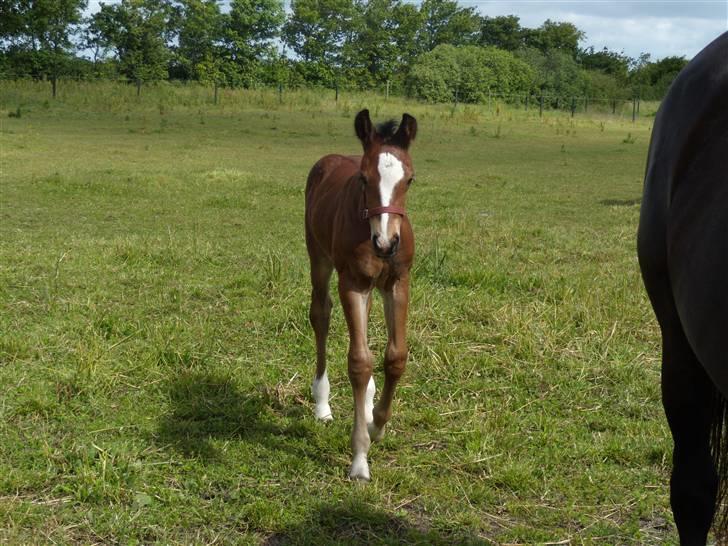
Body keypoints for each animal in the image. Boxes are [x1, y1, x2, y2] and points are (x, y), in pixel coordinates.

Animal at [304, 108, 418, 478]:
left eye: (410, 180)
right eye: (364, 179)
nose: (386, 243)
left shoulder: (398, 282)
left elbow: (395, 357)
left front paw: (376, 425)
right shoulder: (352, 283)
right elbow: (358, 361)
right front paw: (359, 458)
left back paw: (367, 402)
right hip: (319, 259)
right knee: (320, 315)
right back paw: (322, 403)